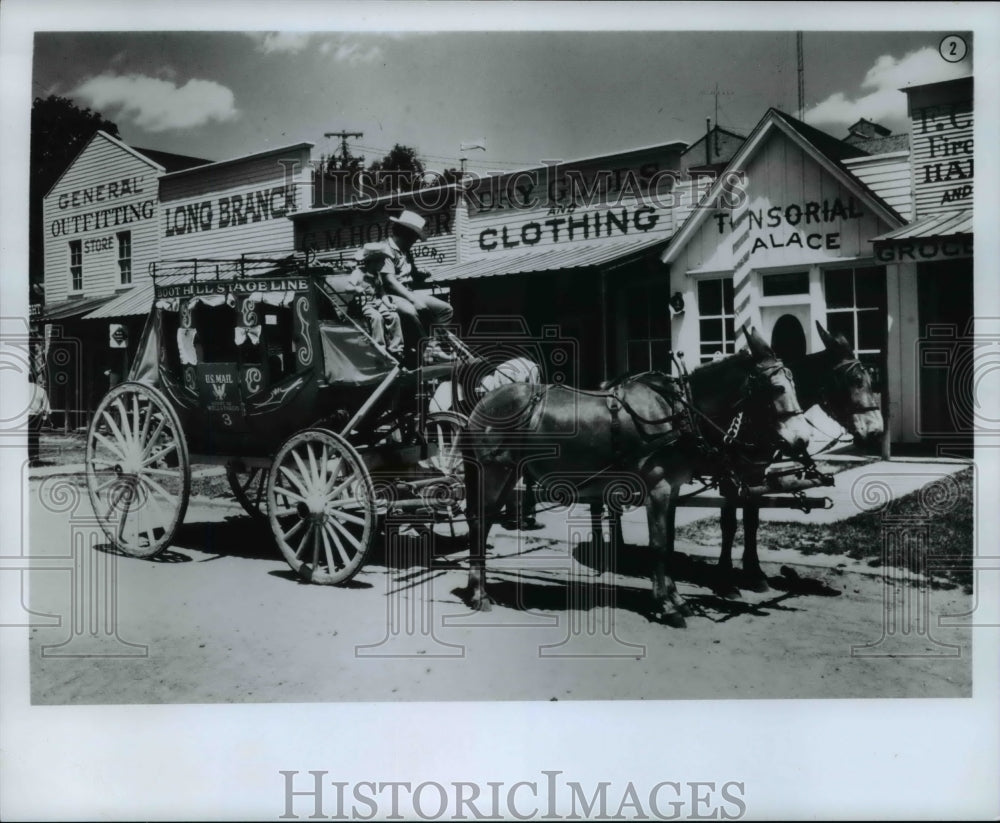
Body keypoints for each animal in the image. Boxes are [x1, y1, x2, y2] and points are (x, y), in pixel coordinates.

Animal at [460, 326, 812, 628]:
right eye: (777, 387)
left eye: (796, 383)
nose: (802, 440)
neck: (677, 410)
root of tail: (482, 404)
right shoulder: (657, 488)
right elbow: (658, 546)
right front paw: (667, 605)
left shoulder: (672, 488)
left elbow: (667, 543)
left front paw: (675, 598)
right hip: (495, 473)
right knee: (481, 522)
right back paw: (479, 592)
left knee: (481, 521)